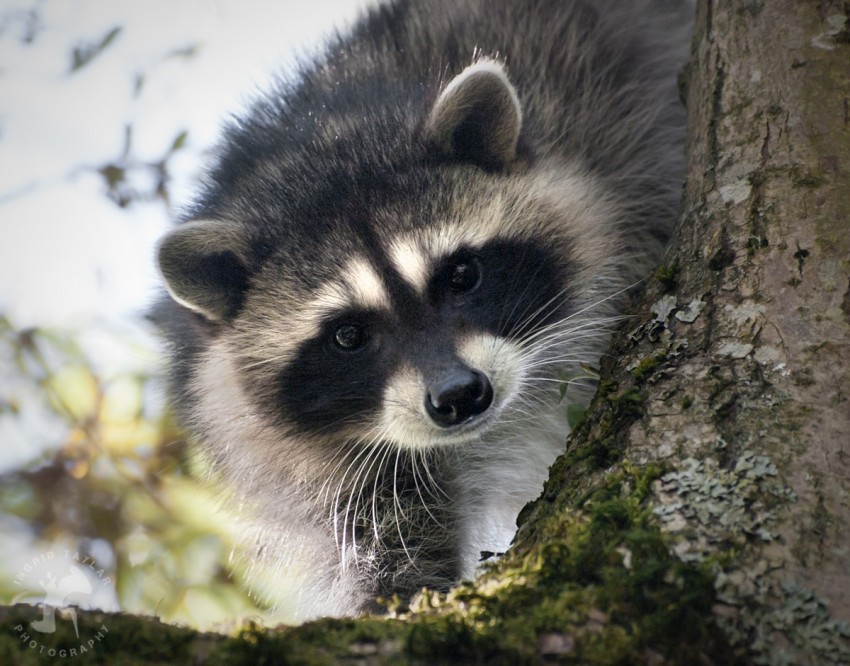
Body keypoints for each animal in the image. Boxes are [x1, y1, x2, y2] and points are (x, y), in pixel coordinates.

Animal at [156, 0, 692, 616]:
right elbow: (373, 525)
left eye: (461, 275)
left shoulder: (614, 122)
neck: (326, 139)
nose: (460, 395)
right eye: (347, 335)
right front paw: (399, 594)